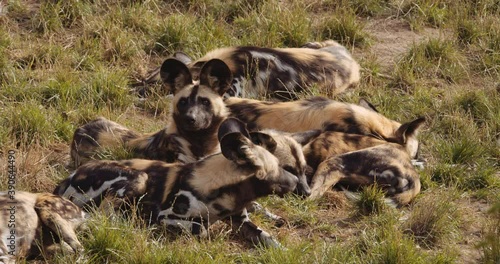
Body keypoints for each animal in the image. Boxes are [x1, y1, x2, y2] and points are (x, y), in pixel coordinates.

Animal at [54, 118, 298, 248]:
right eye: (276, 170)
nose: (296, 181)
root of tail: (71, 175)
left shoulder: (242, 221)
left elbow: (270, 239)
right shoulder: (167, 216)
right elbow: (202, 228)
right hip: (138, 178)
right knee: (104, 214)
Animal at [143, 39, 362, 100]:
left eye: (155, 87)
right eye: (143, 80)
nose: (138, 90)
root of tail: (353, 63)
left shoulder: (229, 94)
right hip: (313, 45)